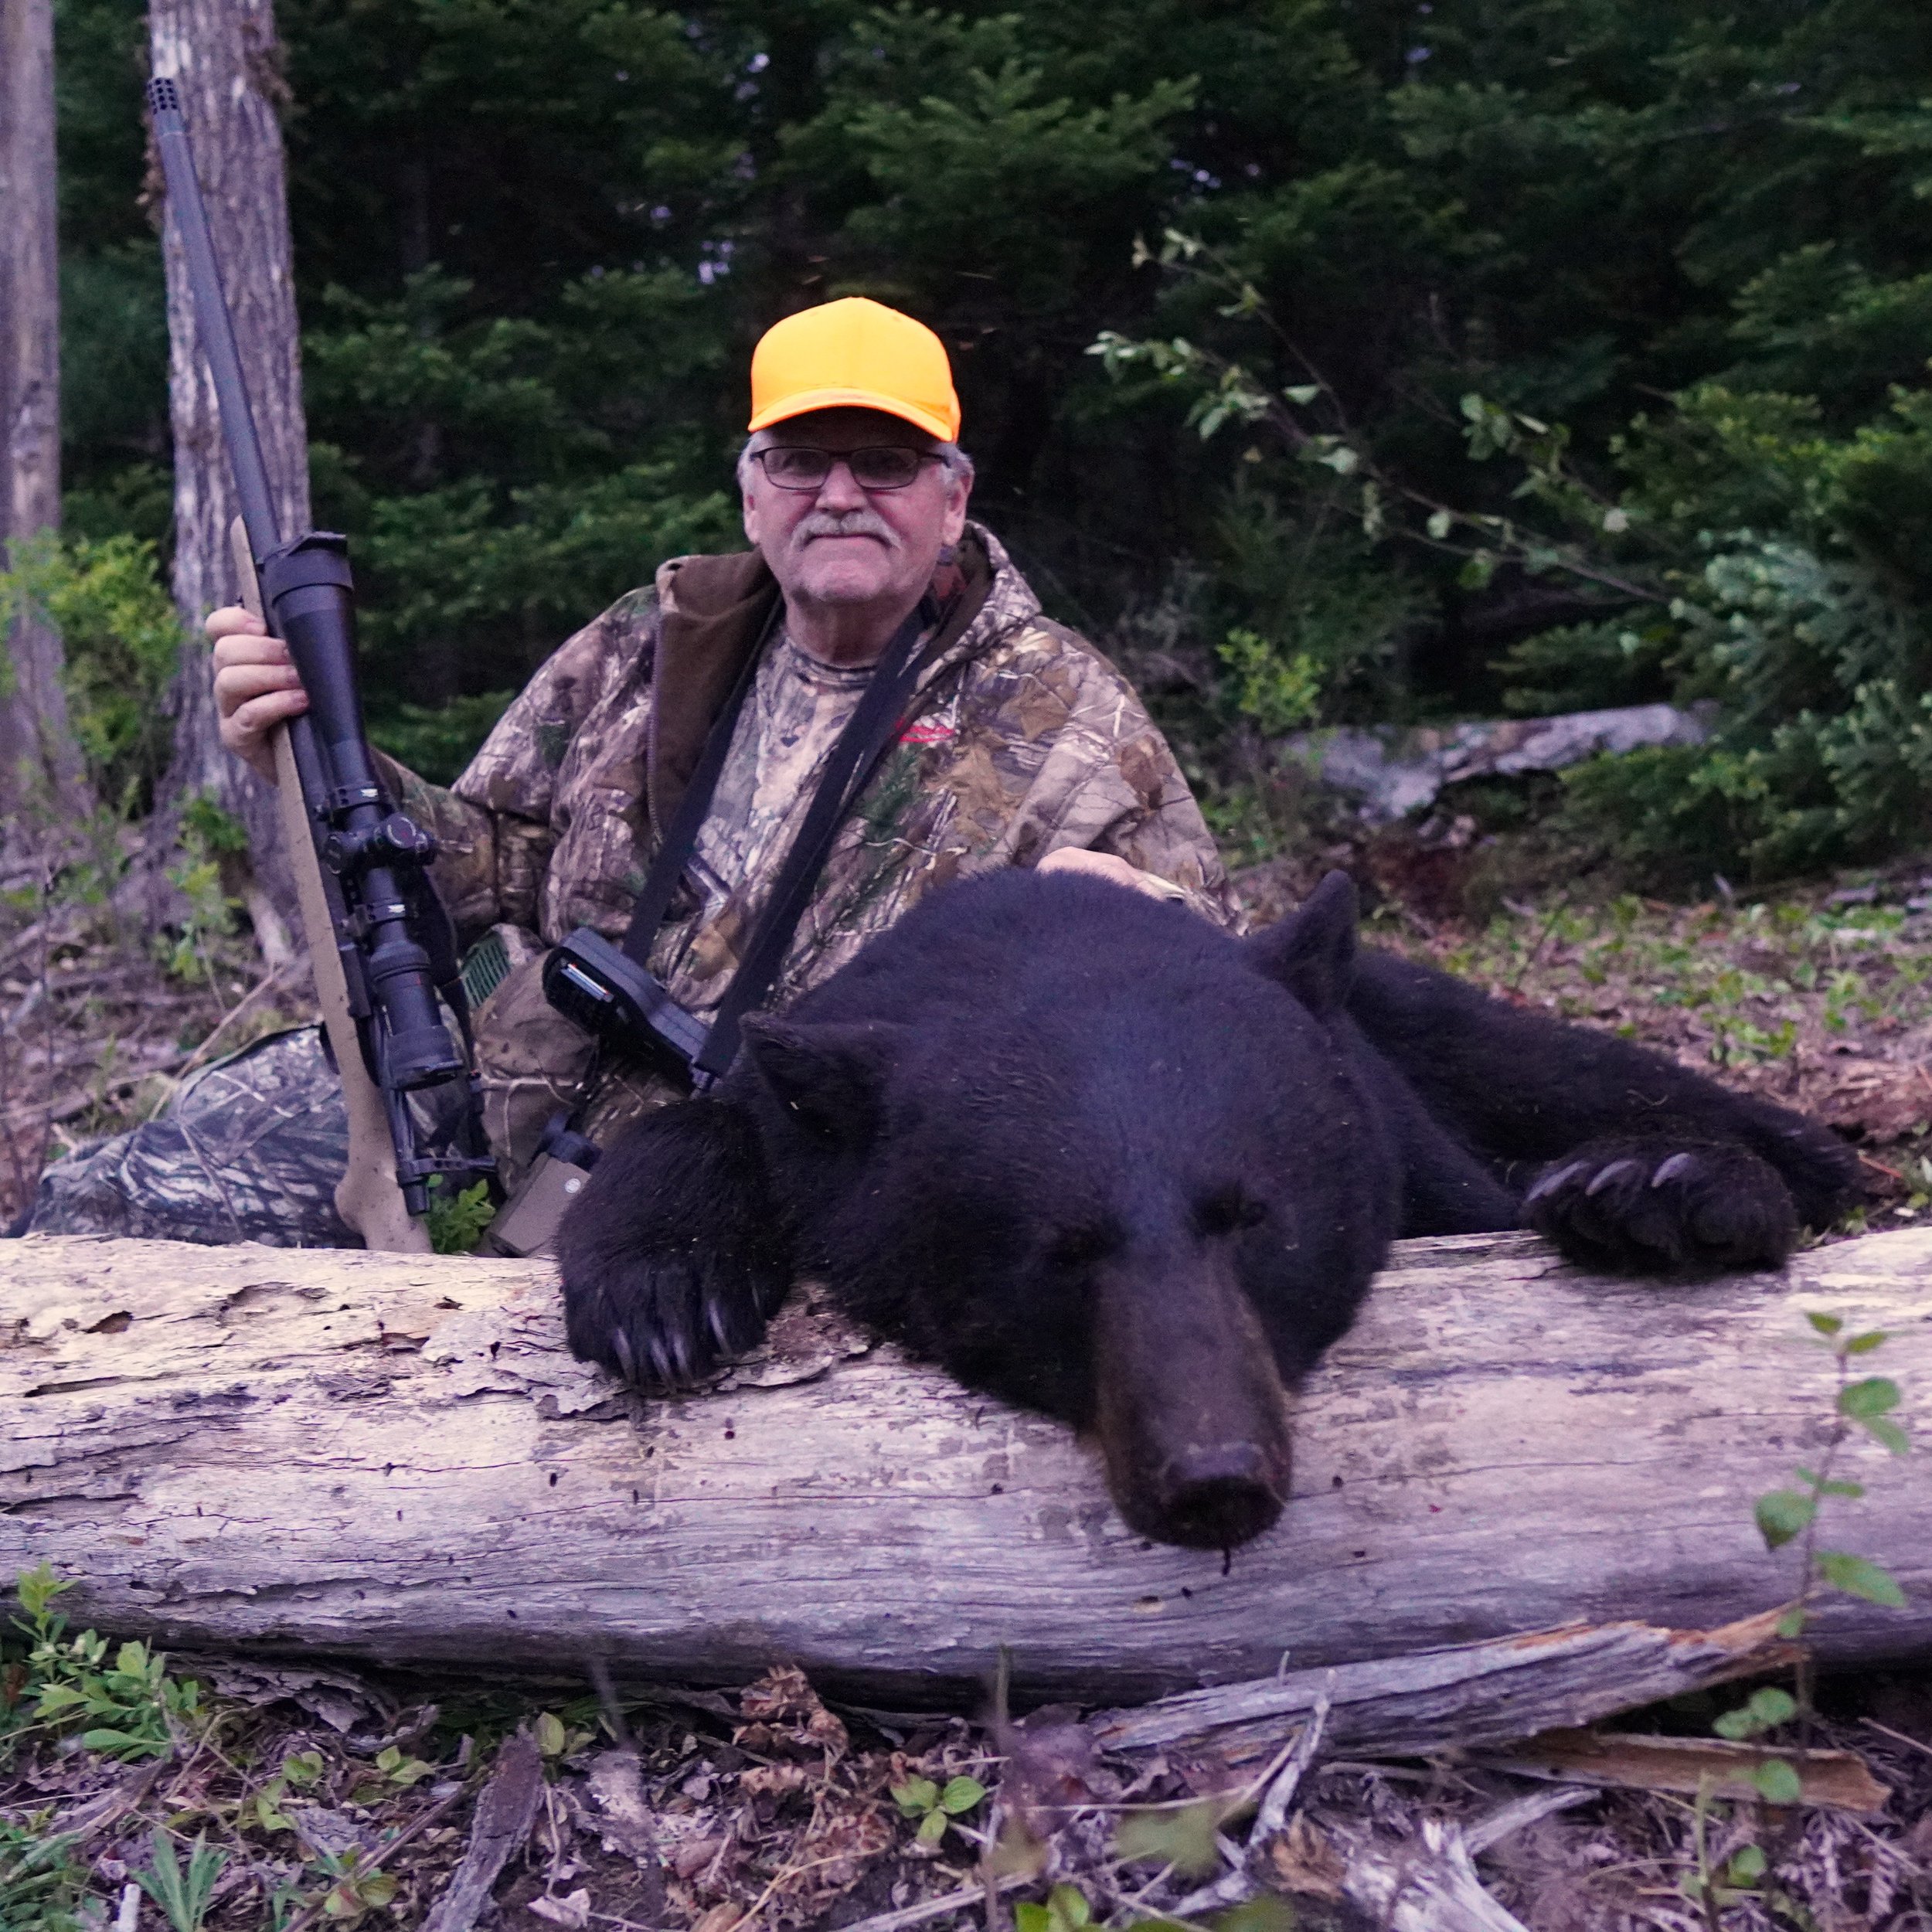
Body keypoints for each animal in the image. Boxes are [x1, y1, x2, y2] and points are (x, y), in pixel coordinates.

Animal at [558, 869, 1861, 1552]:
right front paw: (662, 1290)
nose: (1216, 1475)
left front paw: (1664, 1196)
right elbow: (703, 1126)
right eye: (1061, 1252)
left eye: (1253, 1216)